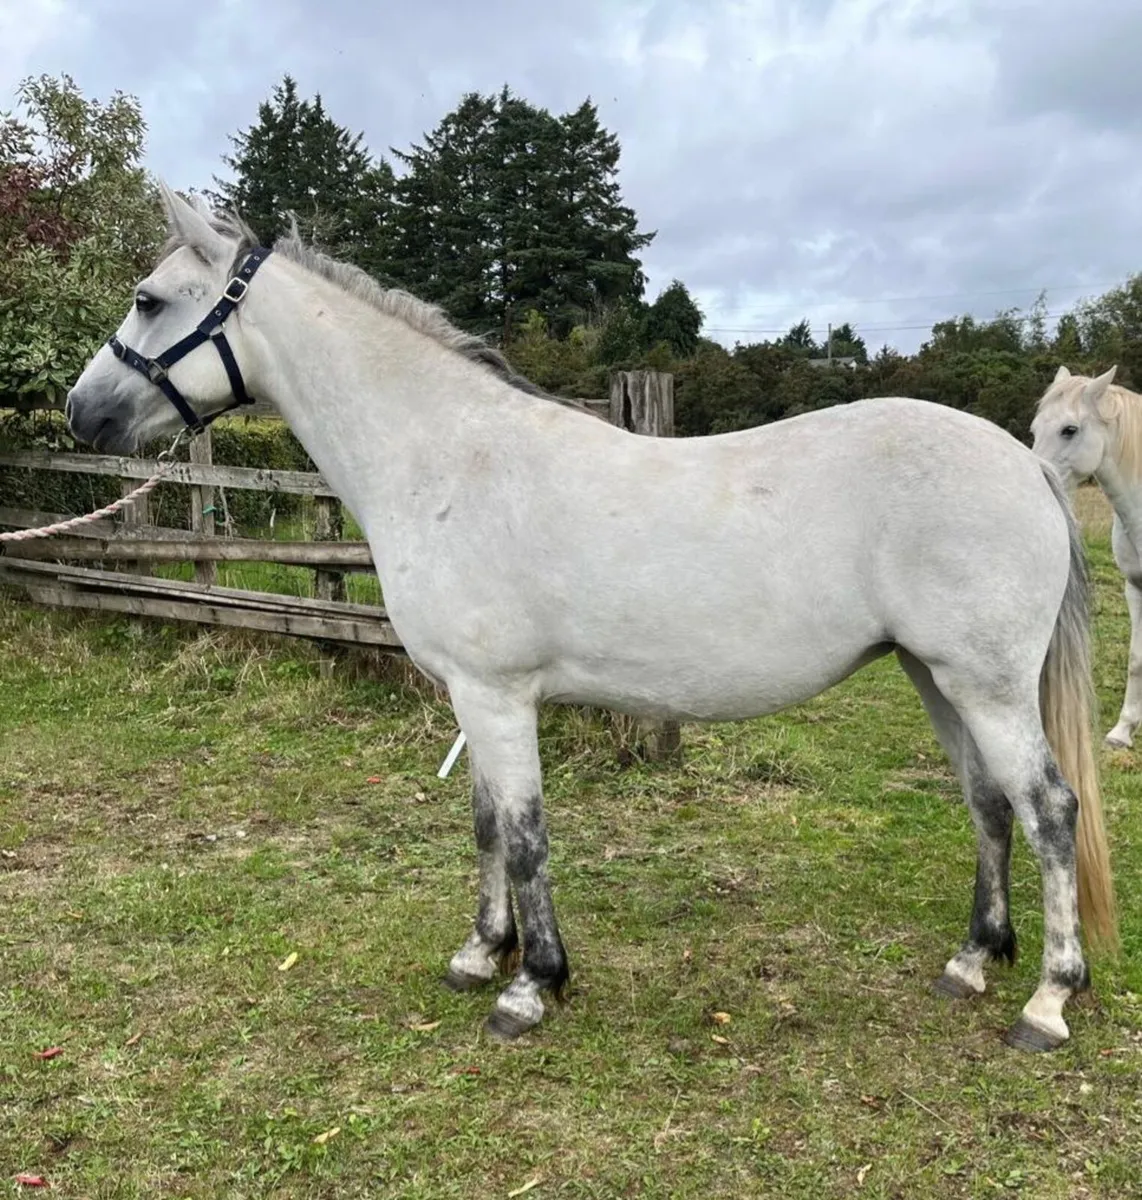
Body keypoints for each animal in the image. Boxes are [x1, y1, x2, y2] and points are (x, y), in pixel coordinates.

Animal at [64, 184, 1117, 1051]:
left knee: (1049, 810)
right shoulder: (469, 696)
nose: (82, 415)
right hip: (934, 675)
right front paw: (480, 954)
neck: (448, 459)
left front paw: (531, 986)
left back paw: (1048, 1001)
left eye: (150, 299)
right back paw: (973, 962)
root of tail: (1024, 463)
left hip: (986, 685)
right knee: (989, 803)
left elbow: (525, 832)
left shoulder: (497, 695)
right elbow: (486, 824)